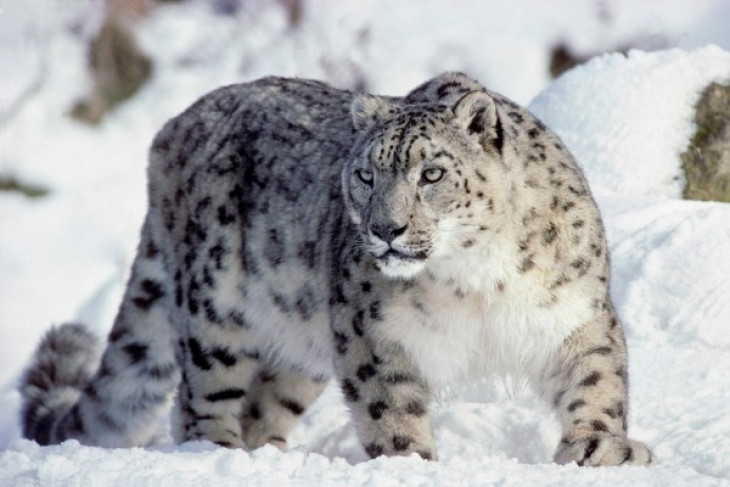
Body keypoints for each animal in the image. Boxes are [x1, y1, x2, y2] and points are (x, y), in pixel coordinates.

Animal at [20, 72, 652, 466]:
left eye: (431, 173)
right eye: (366, 174)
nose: (385, 229)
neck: (476, 280)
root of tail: (171, 130)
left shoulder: (575, 310)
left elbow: (597, 378)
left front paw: (601, 448)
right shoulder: (371, 329)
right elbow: (389, 405)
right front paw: (409, 462)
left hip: (302, 343)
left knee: (264, 403)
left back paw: (269, 453)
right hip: (213, 303)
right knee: (198, 399)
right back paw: (218, 453)